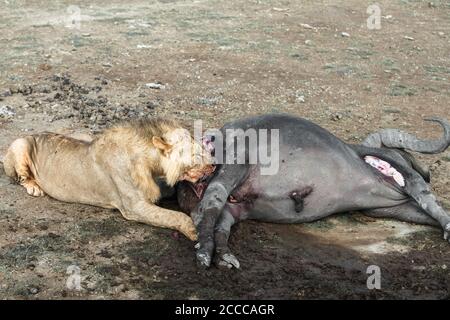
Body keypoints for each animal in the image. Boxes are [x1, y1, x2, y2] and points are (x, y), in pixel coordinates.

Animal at [2, 119, 214, 241]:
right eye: (195, 154)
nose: (213, 165)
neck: (154, 167)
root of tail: (33, 133)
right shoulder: (133, 207)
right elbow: (173, 216)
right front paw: (195, 231)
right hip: (20, 145)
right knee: (21, 177)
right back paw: (34, 187)